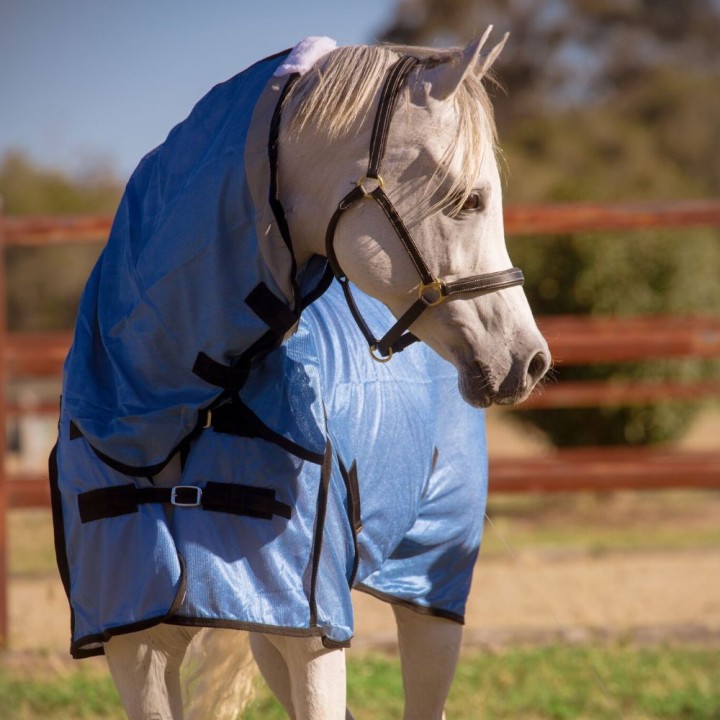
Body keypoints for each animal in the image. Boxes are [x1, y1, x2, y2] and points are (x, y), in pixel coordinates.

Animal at [49, 30, 549, 719]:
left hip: (430, 589)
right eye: (468, 199)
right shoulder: (139, 645)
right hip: (266, 629)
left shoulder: (314, 634)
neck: (161, 418)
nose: (530, 360)